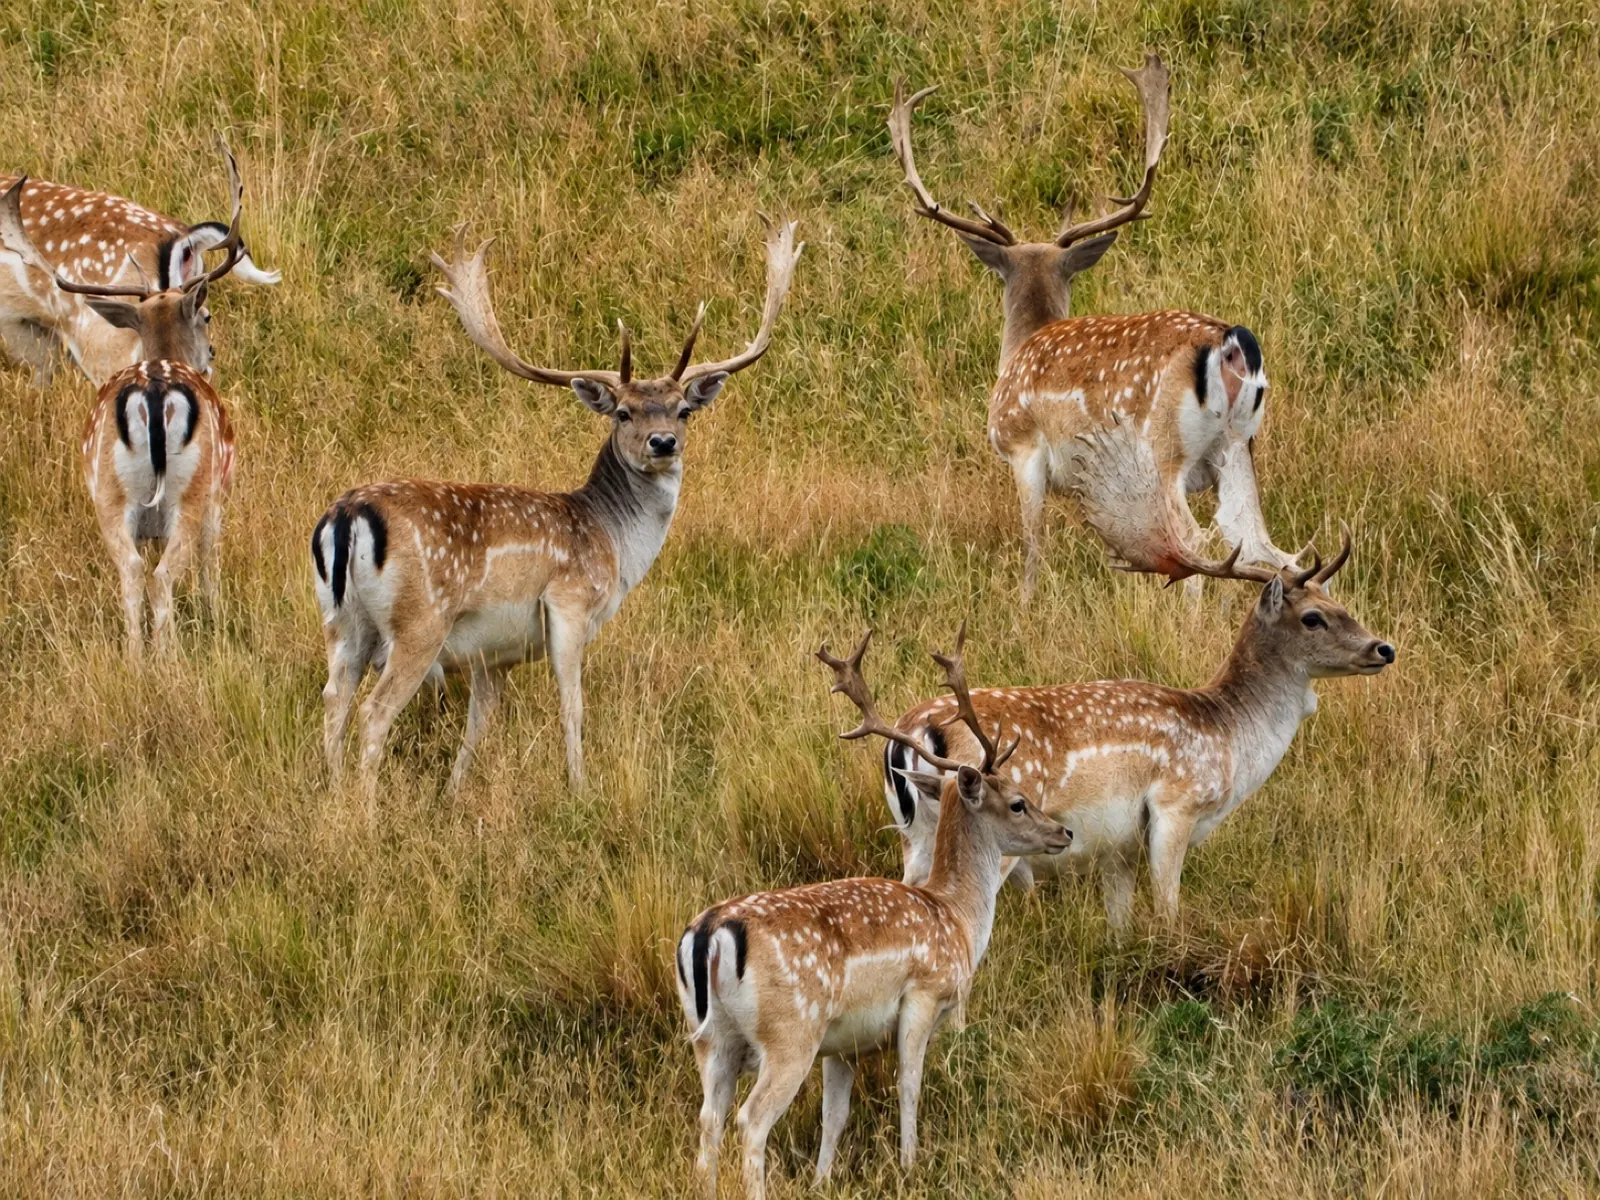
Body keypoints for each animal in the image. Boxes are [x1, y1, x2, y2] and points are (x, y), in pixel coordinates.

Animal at [312, 222, 801, 797]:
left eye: (683, 410)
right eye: (622, 412)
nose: (662, 442)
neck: (614, 546)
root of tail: (346, 514)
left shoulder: (493, 654)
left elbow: (480, 723)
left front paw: (455, 793)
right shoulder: (569, 603)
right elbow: (572, 706)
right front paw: (580, 787)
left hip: (341, 622)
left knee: (333, 700)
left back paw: (331, 793)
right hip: (419, 623)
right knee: (374, 711)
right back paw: (365, 805)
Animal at [676, 628, 1069, 1200]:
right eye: (1018, 801)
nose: (1063, 831)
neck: (956, 918)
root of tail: (708, 934)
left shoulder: (843, 1044)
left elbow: (834, 1114)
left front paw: (823, 1179)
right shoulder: (922, 996)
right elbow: (910, 1084)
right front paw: (910, 1165)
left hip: (711, 1037)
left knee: (709, 1117)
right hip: (790, 1034)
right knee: (751, 1119)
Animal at [877, 422, 1395, 934]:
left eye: (1339, 603)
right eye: (1312, 618)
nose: (1383, 648)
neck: (1227, 737)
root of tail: (913, 734)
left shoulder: (1119, 847)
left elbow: (1119, 924)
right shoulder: (1175, 805)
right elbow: (1167, 909)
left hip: (914, 835)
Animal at [890, 55, 1297, 600]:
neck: (1020, 347)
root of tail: (1228, 343)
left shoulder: (1023, 448)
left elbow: (1032, 542)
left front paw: (1025, 603)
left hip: (1162, 451)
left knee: (1195, 540)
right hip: (1237, 447)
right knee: (1272, 550)